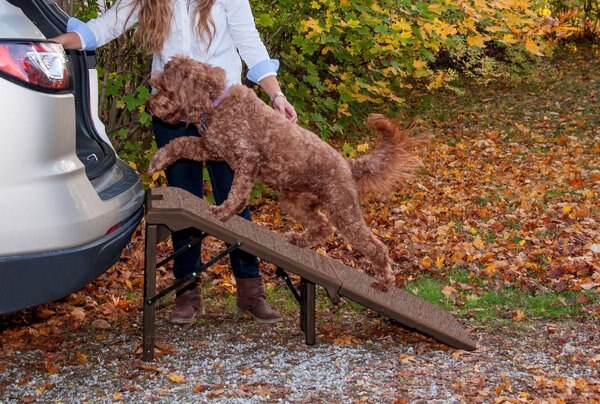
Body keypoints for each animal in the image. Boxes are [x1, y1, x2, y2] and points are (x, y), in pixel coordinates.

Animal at [147, 56, 424, 290]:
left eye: (163, 87)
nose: (149, 106)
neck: (216, 102)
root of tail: (348, 165)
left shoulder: (247, 158)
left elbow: (237, 191)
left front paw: (224, 211)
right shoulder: (212, 148)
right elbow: (180, 144)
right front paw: (157, 162)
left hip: (342, 208)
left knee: (374, 246)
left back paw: (384, 281)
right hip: (294, 201)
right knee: (323, 226)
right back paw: (299, 240)